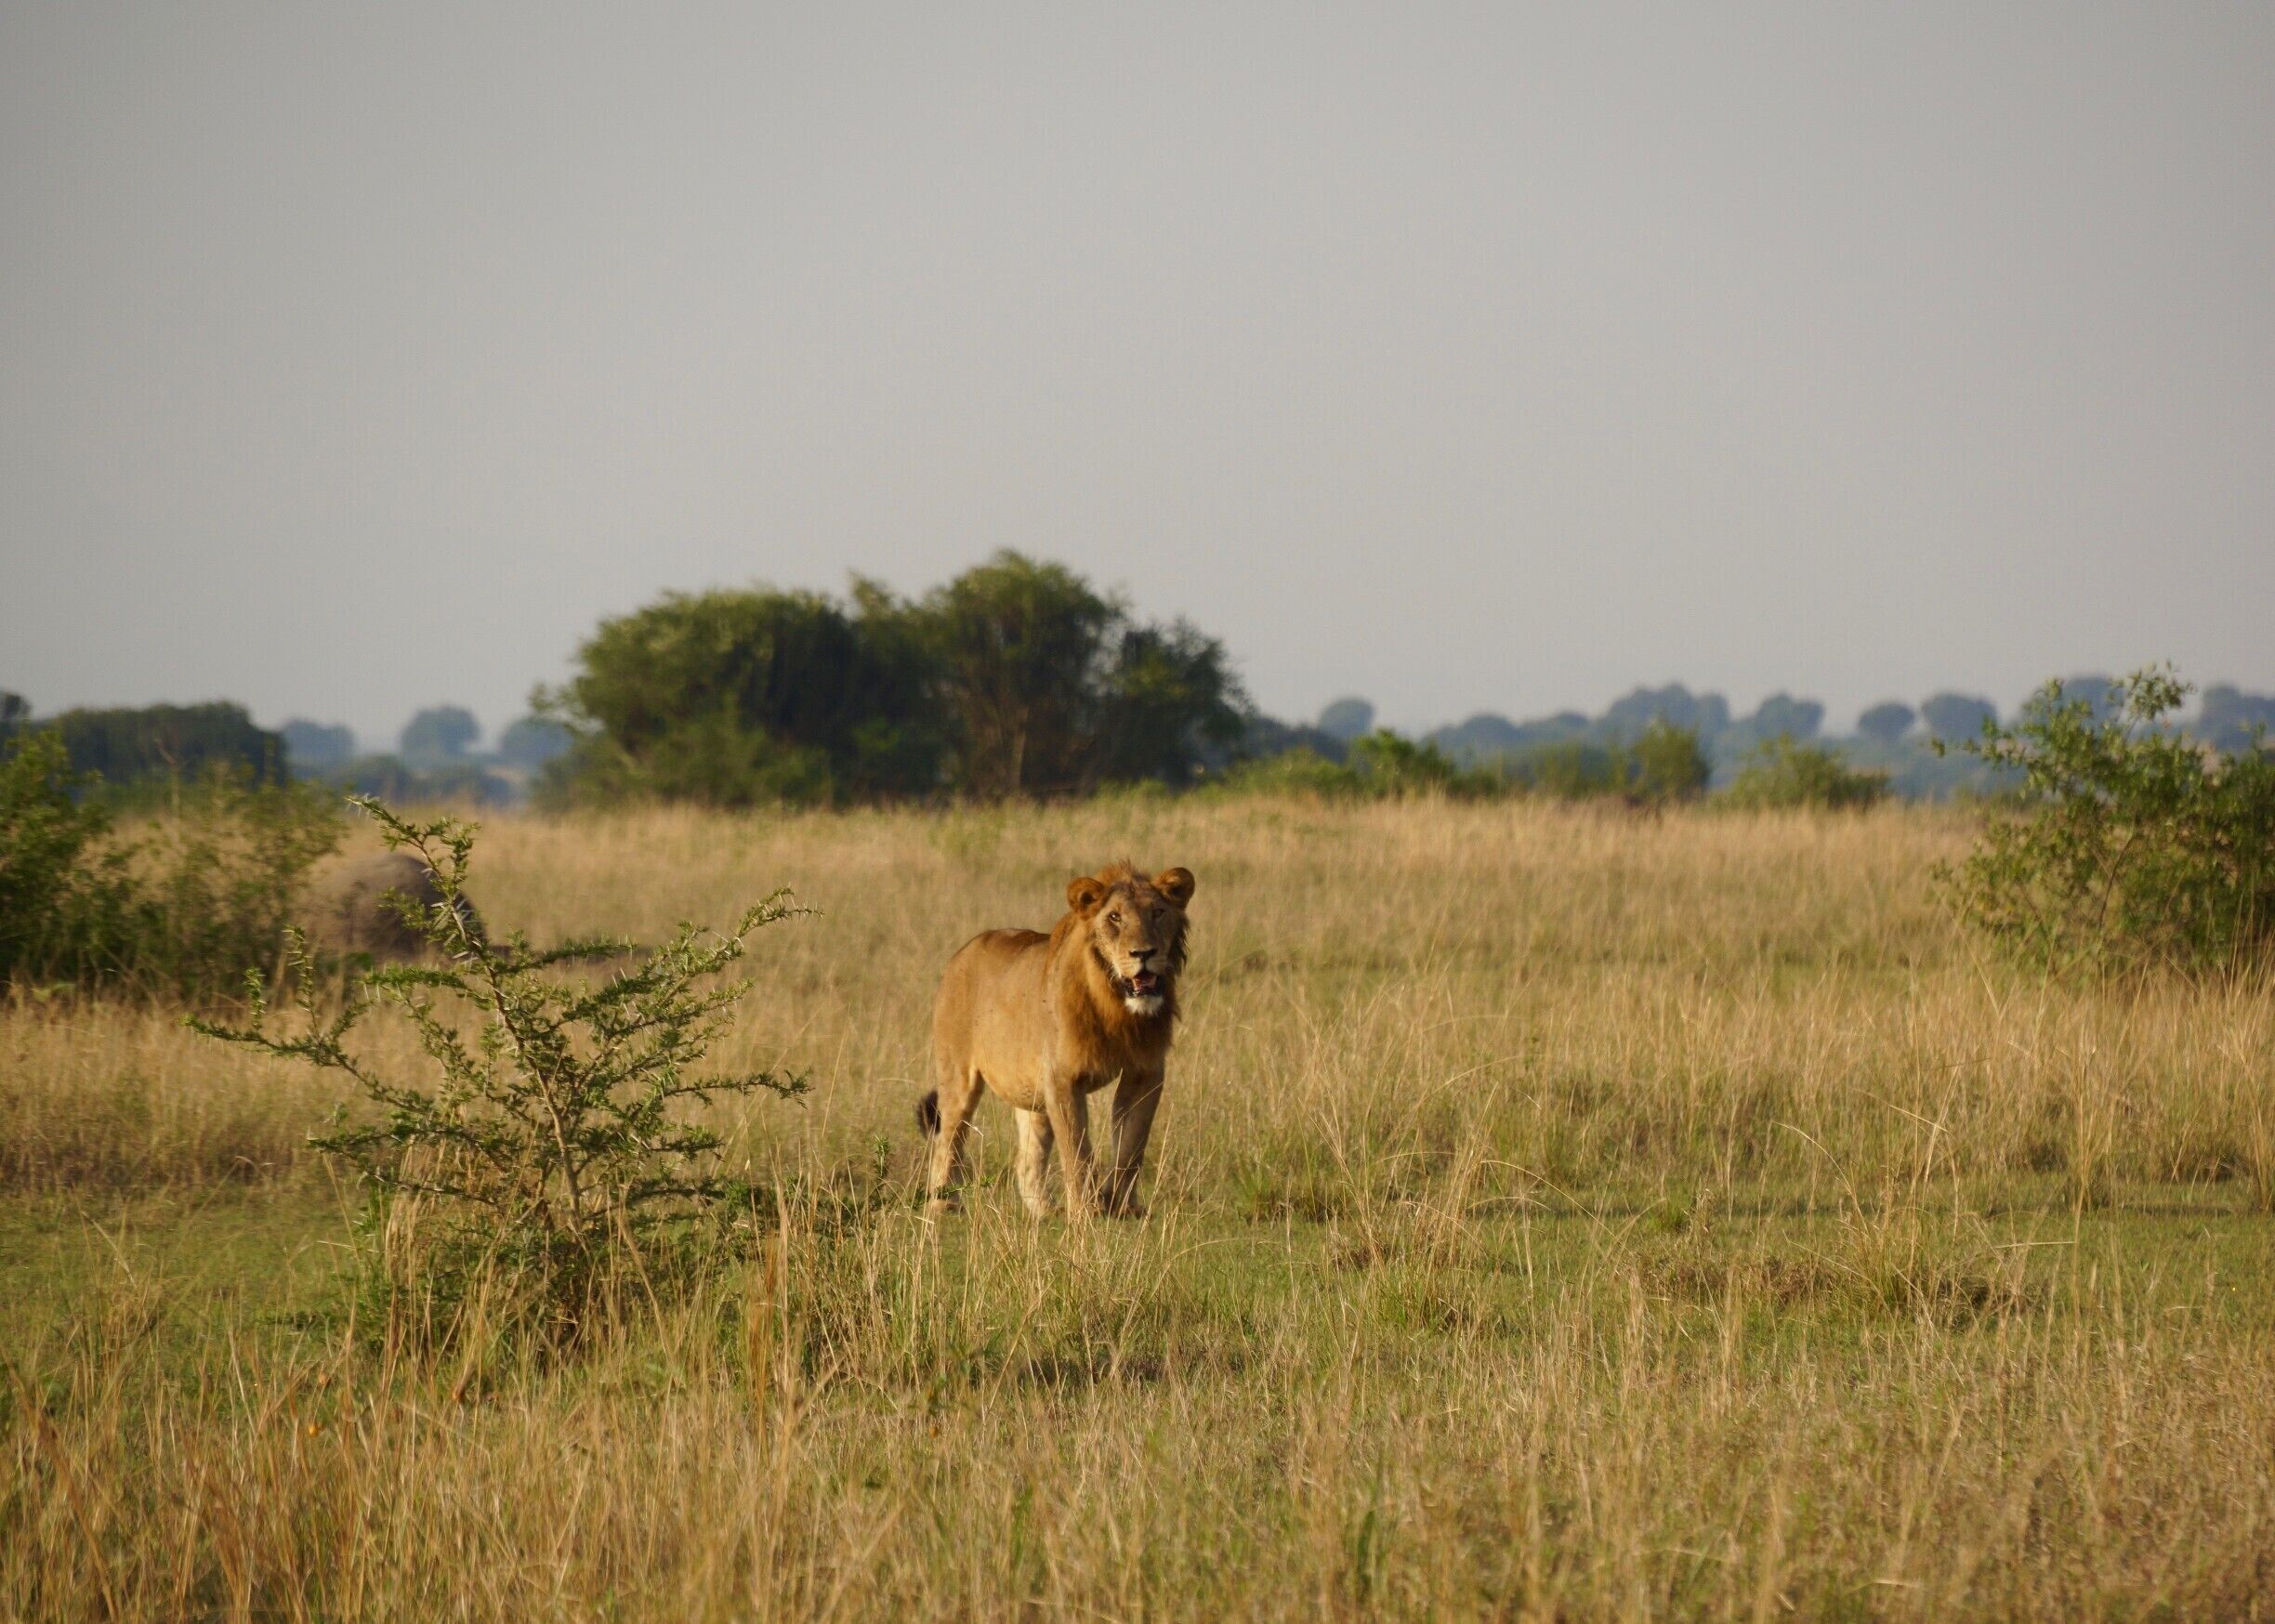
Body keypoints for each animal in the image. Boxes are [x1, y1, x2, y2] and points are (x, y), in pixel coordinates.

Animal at [919, 862, 1196, 1220]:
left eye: (1158, 912)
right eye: (1115, 917)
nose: (1144, 953)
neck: (1116, 1007)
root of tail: (963, 950)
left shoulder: (1145, 1072)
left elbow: (1132, 1145)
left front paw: (1123, 1208)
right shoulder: (1063, 1077)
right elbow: (1076, 1149)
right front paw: (1087, 1212)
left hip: (1031, 1089)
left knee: (1026, 1159)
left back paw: (1044, 1212)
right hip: (959, 1076)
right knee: (948, 1139)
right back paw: (944, 1204)